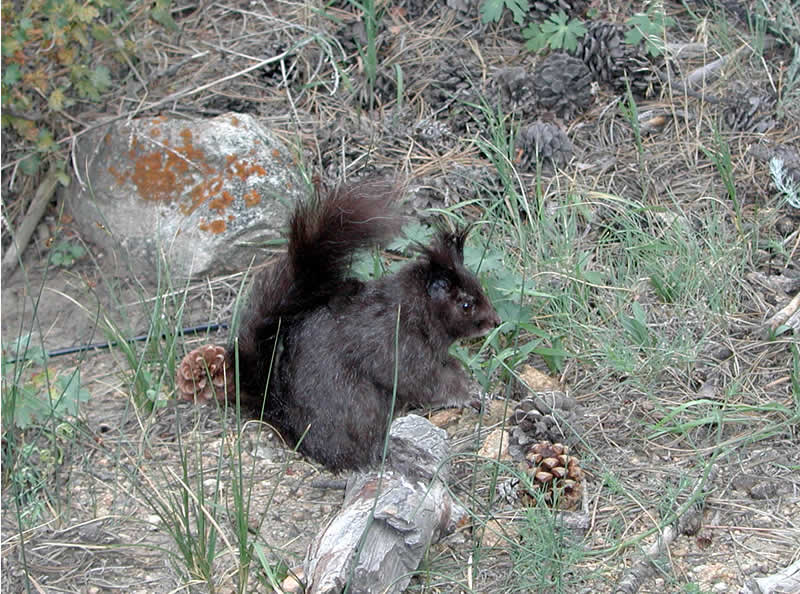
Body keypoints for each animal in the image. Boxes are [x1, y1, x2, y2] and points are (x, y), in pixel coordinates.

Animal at [230, 178, 502, 472]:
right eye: (466, 305)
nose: (496, 321)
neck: (413, 310)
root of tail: (292, 429)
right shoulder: (400, 349)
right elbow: (426, 383)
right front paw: (467, 395)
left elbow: (450, 368)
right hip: (363, 407)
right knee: (365, 453)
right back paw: (399, 453)